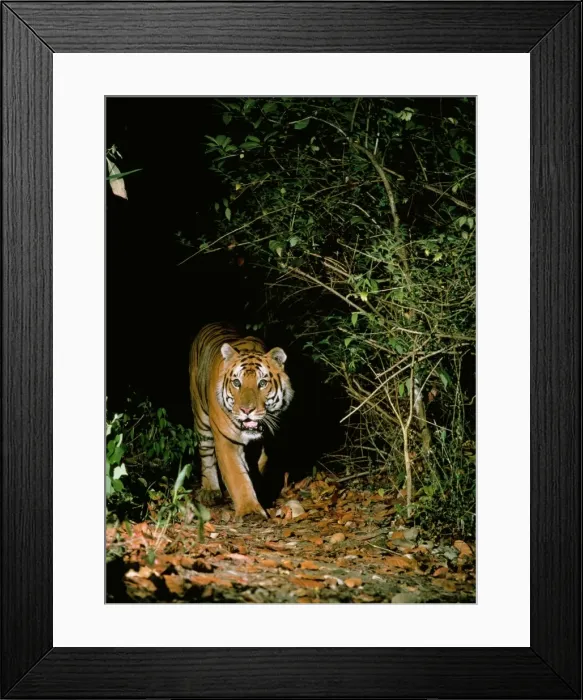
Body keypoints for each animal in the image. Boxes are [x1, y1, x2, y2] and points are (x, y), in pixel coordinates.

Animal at [189, 323, 294, 519]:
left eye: (262, 383)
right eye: (237, 383)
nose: (246, 410)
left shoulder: (268, 440)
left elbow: (260, 465)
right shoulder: (226, 440)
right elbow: (237, 476)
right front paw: (249, 509)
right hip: (201, 418)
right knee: (206, 453)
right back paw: (210, 491)